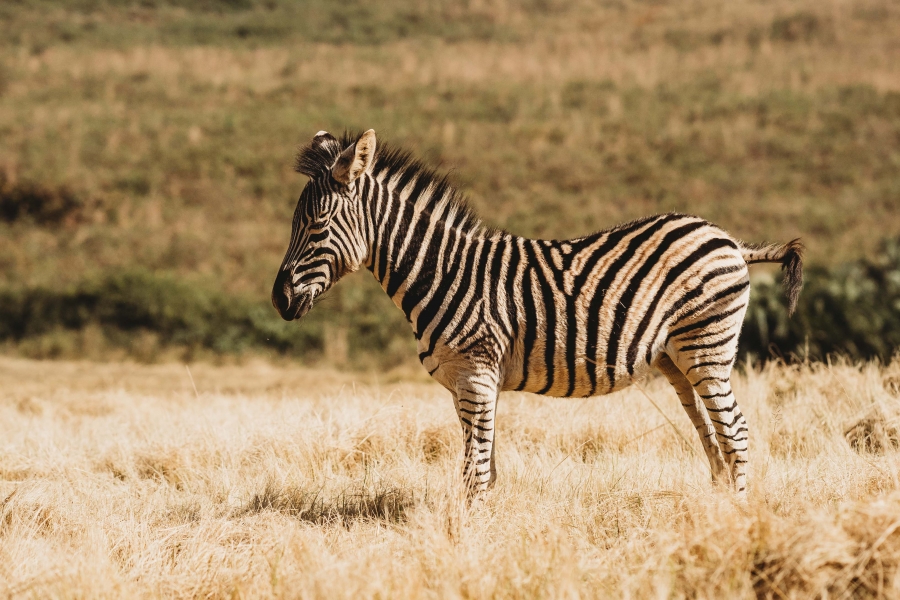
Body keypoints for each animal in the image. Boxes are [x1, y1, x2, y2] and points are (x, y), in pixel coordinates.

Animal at [270, 130, 804, 496]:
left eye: (316, 224)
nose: (278, 299)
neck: (443, 270)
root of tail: (729, 239)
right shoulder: (467, 382)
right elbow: (482, 466)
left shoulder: (477, 375)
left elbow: (476, 471)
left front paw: (470, 541)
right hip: (677, 359)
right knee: (712, 437)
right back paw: (714, 511)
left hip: (707, 348)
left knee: (736, 433)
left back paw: (736, 519)